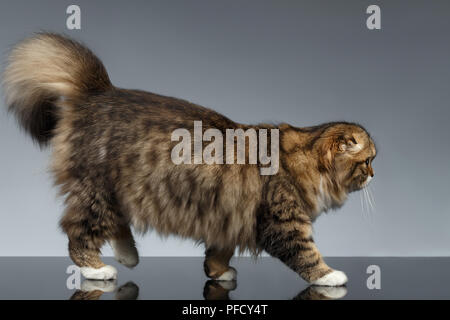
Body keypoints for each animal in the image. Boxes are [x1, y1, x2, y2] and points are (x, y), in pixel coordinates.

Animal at [2, 33, 376, 288]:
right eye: (369, 160)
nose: (374, 174)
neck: (304, 158)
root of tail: (101, 92)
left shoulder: (228, 216)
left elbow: (218, 252)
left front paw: (218, 273)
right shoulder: (282, 222)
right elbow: (307, 254)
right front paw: (329, 276)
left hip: (118, 192)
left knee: (115, 224)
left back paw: (128, 255)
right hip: (97, 192)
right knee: (76, 233)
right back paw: (98, 269)